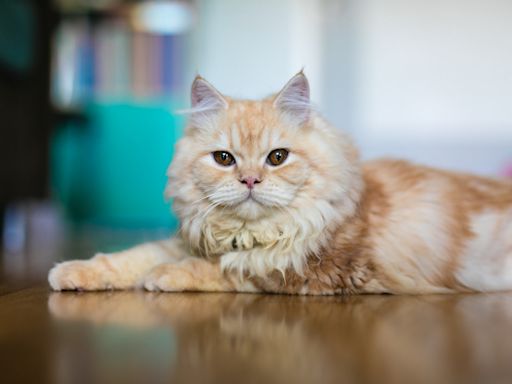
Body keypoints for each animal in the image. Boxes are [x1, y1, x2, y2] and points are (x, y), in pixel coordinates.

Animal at [48, 71, 512, 294]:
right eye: (224, 158)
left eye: (277, 157)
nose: (251, 179)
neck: (251, 234)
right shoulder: (191, 239)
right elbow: (129, 257)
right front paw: (69, 271)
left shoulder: (311, 273)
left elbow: (231, 271)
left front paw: (162, 276)